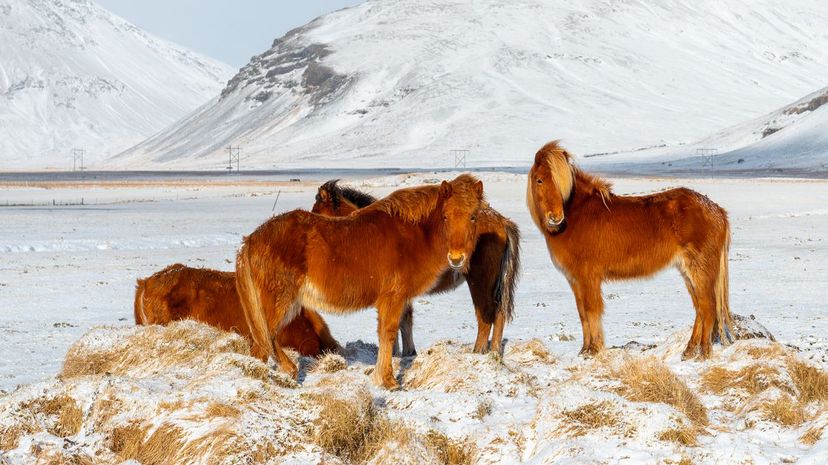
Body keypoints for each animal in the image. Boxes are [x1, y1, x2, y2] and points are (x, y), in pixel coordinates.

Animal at [236, 172, 488, 386]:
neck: (413, 234)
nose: (457, 258)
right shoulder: (393, 298)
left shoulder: (398, 300)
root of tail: (251, 239)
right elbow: (388, 333)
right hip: (280, 303)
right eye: (445, 216)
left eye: (473, 217)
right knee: (265, 339)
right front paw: (388, 381)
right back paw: (286, 371)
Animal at [314, 179, 520, 354]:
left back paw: (478, 352)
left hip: (480, 283)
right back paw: (494, 353)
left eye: (317, 212)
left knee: (485, 317)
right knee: (499, 315)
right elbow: (404, 320)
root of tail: (502, 222)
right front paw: (405, 352)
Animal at [528, 141, 736, 358]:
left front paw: (594, 350)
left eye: (562, 182)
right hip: (687, 272)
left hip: (700, 271)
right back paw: (689, 351)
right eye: (539, 180)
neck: (578, 215)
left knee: (708, 307)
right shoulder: (575, 279)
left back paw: (703, 353)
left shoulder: (588, 277)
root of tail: (717, 210)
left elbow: (592, 310)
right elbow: (582, 313)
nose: (556, 218)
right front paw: (584, 350)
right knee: (700, 309)